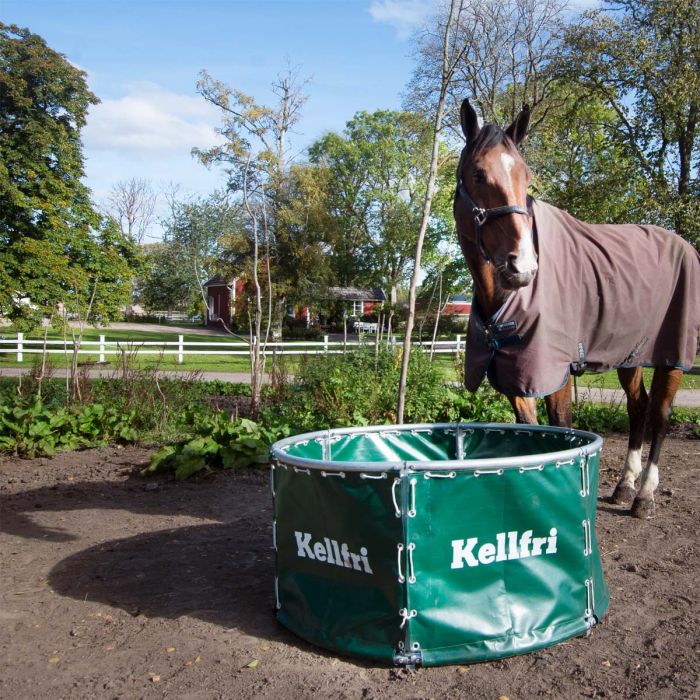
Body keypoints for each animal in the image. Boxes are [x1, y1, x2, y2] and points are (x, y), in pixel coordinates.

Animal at [454, 95, 700, 516]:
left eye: (526, 176)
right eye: (478, 175)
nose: (523, 266)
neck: (504, 299)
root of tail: (683, 245)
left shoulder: (556, 374)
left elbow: (561, 430)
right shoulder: (515, 377)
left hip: (672, 355)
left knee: (660, 414)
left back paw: (644, 495)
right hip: (630, 355)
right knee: (638, 408)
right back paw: (623, 486)